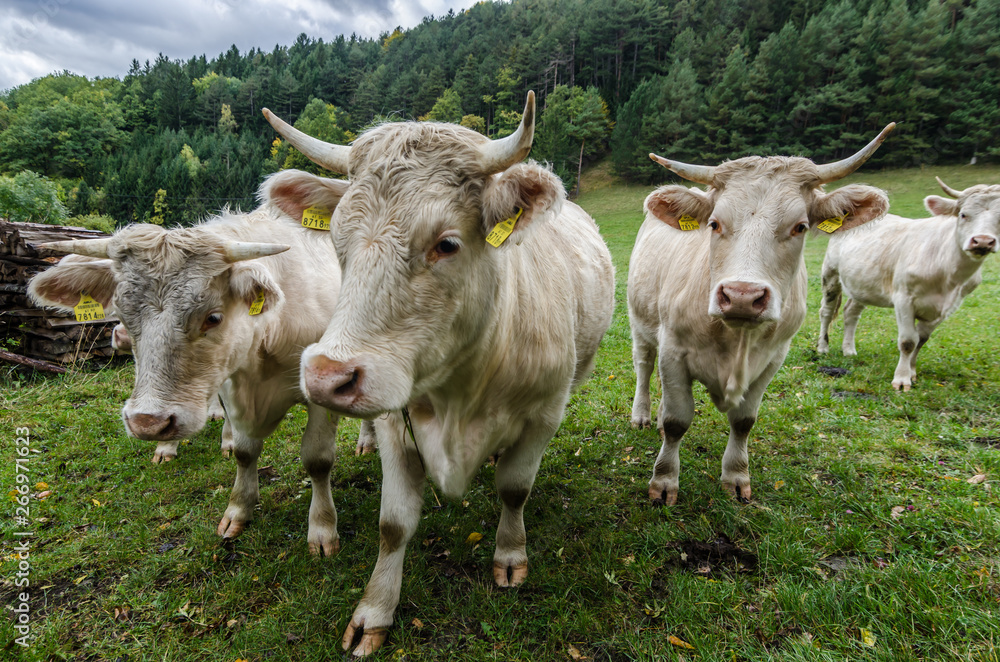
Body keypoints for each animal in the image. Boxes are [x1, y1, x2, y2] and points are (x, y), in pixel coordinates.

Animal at [31, 170, 376, 556]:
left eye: (212, 317)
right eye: (123, 315)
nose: (148, 422)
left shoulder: (323, 390)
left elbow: (317, 459)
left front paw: (322, 529)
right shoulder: (231, 384)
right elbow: (244, 451)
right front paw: (238, 510)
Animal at [262, 92, 612, 660]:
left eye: (446, 244)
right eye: (335, 239)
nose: (328, 376)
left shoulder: (544, 413)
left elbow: (515, 488)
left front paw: (510, 555)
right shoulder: (395, 421)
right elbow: (393, 524)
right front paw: (375, 611)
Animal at [628, 126, 896, 508]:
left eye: (800, 227)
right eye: (714, 223)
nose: (742, 296)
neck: (736, 339)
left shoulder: (773, 358)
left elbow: (744, 421)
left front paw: (737, 477)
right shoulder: (673, 348)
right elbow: (677, 421)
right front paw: (664, 482)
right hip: (640, 323)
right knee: (644, 366)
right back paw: (641, 414)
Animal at [816, 179, 996, 392]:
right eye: (963, 214)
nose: (982, 241)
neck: (948, 273)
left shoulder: (948, 306)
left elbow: (921, 339)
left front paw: (912, 372)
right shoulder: (904, 298)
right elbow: (908, 341)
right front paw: (901, 380)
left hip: (862, 283)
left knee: (851, 312)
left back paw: (849, 349)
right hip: (830, 273)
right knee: (826, 311)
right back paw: (823, 347)